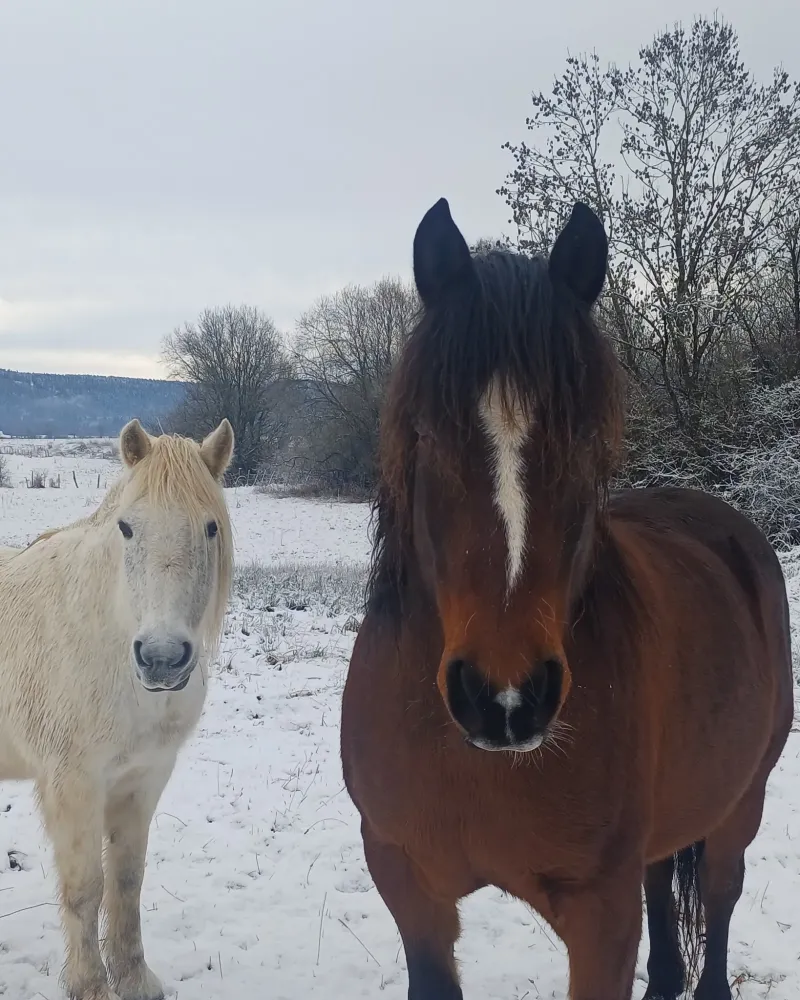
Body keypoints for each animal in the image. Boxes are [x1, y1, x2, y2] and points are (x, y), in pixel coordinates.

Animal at [0, 418, 234, 1000]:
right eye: (126, 528)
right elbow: (85, 888)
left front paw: (135, 977)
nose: (162, 658)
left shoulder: (144, 777)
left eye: (210, 528)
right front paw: (89, 985)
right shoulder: (74, 783)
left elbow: (127, 880)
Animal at [340, 199, 794, 1000]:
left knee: (718, 900)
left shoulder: (600, 914)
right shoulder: (408, 887)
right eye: (426, 434)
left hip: (740, 805)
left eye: (585, 438)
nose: (504, 699)